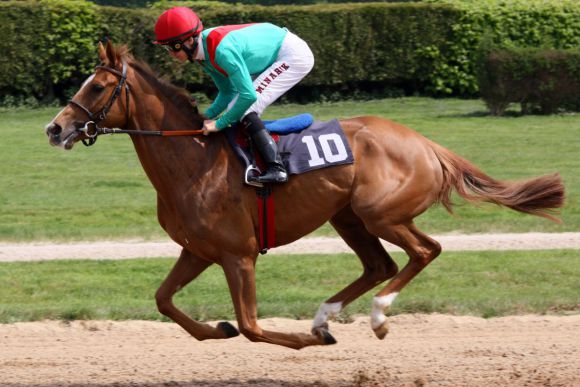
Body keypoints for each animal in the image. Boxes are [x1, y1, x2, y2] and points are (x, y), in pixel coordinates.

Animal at [45, 42, 568, 352]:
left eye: (98, 85)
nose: (55, 128)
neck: (192, 158)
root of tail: (427, 144)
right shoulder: (198, 250)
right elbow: (163, 301)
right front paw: (217, 329)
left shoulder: (238, 255)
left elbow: (253, 327)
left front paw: (300, 340)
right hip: (347, 217)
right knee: (380, 264)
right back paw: (323, 317)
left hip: (381, 214)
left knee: (425, 250)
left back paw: (375, 315)